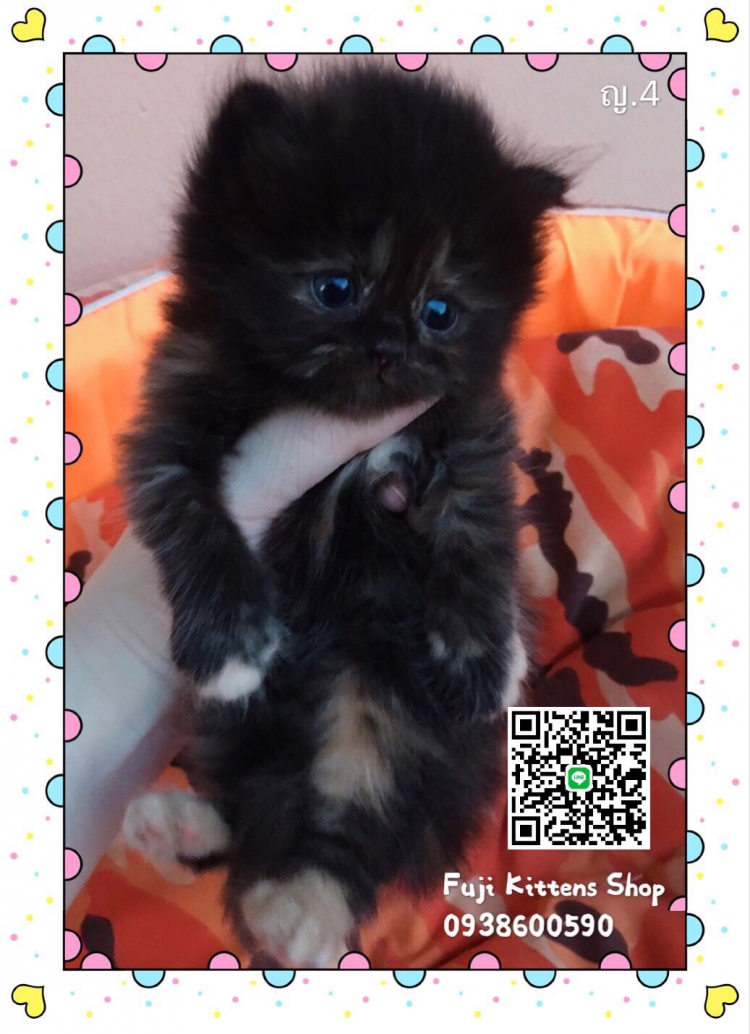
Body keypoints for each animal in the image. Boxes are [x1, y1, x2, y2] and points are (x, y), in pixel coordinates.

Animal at [121, 64, 566, 967]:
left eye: (440, 311)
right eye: (336, 289)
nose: (389, 346)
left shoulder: (473, 433)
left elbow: (480, 537)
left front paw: (484, 655)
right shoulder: (171, 416)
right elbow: (190, 514)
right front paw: (231, 641)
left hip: (371, 721)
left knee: (341, 831)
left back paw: (300, 911)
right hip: (231, 733)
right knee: (243, 814)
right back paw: (182, 830)